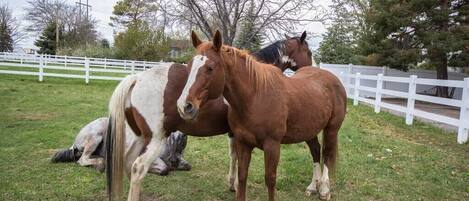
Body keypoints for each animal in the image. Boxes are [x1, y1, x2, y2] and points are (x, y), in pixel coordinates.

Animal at [51, 117, 190, 175]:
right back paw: (101, 165)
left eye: (184, 139)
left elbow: (187, 166)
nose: (174, 159)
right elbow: (164, 168)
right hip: (96, 137)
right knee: (82, 160)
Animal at [103, 33, 312, 201]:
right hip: (155, 139)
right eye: (309, 52)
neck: (253, 81)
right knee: (138, 168)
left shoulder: (234, 133)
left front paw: (232, 184)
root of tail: (136, 78)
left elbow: (234, 156)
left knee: (128, 163)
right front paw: (234, 184)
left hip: (139, 136)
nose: (311, 68)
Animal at [177, 30, 346, 200]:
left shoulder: (272, 146)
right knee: (316, 150)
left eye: (210, 67)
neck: (256, 96)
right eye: (189, 66)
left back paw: (324, 189)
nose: (184, 106)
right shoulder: (242, 142)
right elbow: (242, 175)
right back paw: (313, 186)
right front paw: (234, 185)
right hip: (309, 129)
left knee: (327, 154)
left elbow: (270, 180)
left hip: (331, 129)